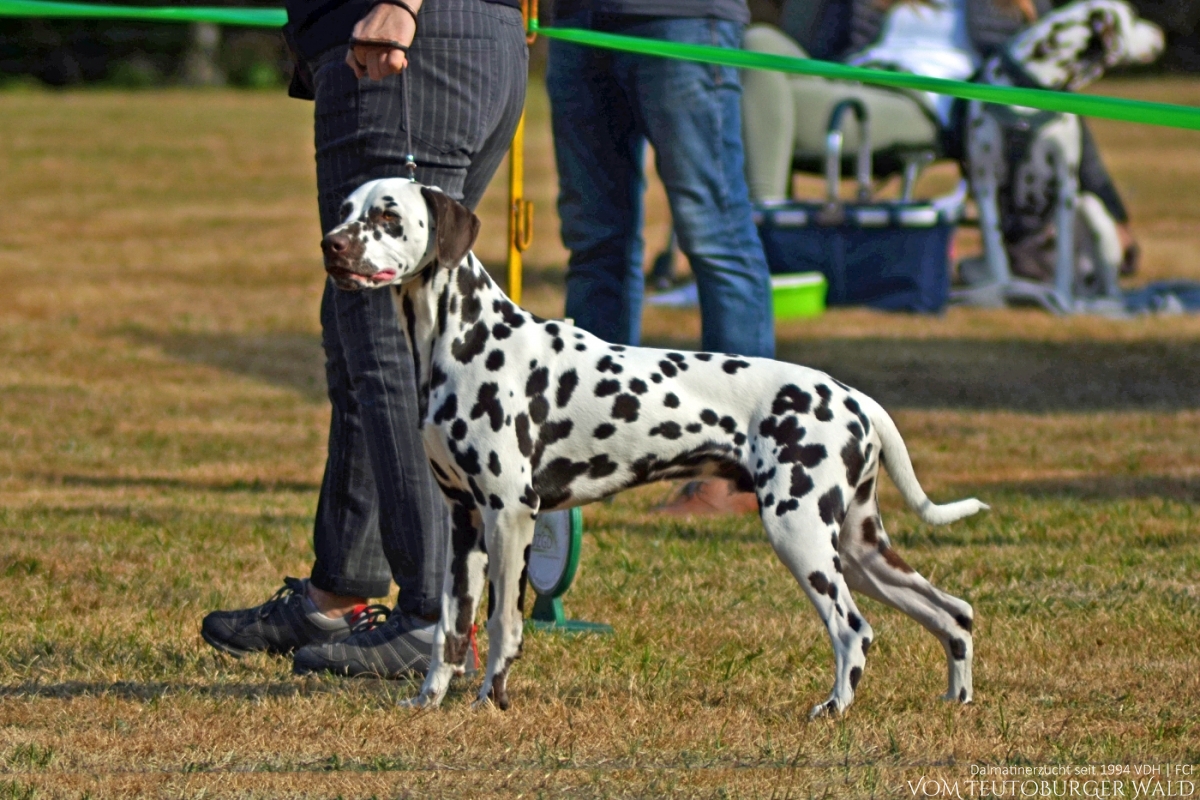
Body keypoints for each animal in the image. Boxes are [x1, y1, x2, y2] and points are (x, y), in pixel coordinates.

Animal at [319, 181, 984, 719]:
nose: (332, 245)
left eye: (387, 216)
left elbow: (504, 624)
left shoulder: (510, 515)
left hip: (802, 536)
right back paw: (957, 700)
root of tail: (853, 397)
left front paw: (491, 703)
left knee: (855, 631)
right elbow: (450, 632)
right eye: (345, 210)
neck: (467, 339)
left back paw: (834, 708)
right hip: (861, 547)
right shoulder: (464, 523)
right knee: (954, 614)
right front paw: (429, 702)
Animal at [964, 0, 1161, 297]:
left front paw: (1062, 296)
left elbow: (1064, 259)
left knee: (1106, 287)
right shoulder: (984, 180)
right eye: (1134, 18)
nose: (1161, 35)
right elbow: (996, 253)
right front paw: (999, 291)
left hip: (1092, 210)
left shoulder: (1064, 182)